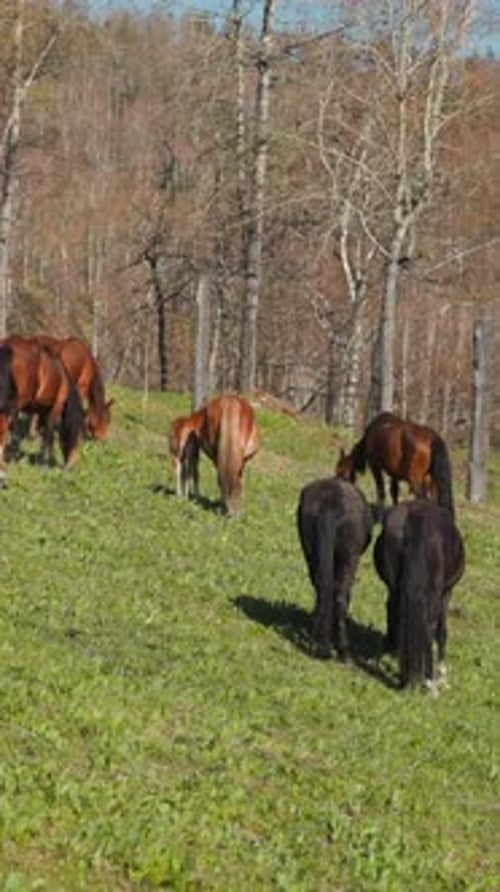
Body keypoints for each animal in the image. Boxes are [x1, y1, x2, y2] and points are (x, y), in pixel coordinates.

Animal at [0, 338, 86, 486]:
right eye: (79, 438)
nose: (70, 466)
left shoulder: (39, 411)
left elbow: (37, 433)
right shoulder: (54, 409)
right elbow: (48, 436)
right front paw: (45, 461)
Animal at [297, 477, 374, 661]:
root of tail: (330, 505)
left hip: (310, 551)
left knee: (321, 588)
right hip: (349, 558)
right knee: (340, 596)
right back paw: (343, 650)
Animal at [373, 500, 465, 692]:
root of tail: (416, 516)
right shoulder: (446, 593)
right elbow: (441, 631)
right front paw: (442, 675)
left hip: (394, 587)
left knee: (395, 613)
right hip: (436, 594)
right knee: (429, 627)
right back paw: (430, 682)